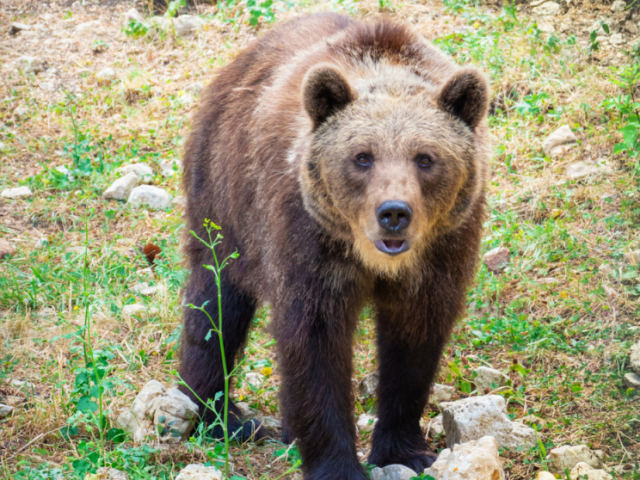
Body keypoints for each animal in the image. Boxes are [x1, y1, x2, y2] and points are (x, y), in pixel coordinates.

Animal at [180, 13, 490, 480]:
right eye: (362, 156)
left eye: (425, 157)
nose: (394, 212)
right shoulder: (308, 241)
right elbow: (314, 344)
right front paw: (337, 463)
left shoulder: (444, 248)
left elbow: (414, 342)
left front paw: (406, 450)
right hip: (224, 197)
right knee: (215, 305)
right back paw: (223, 418)